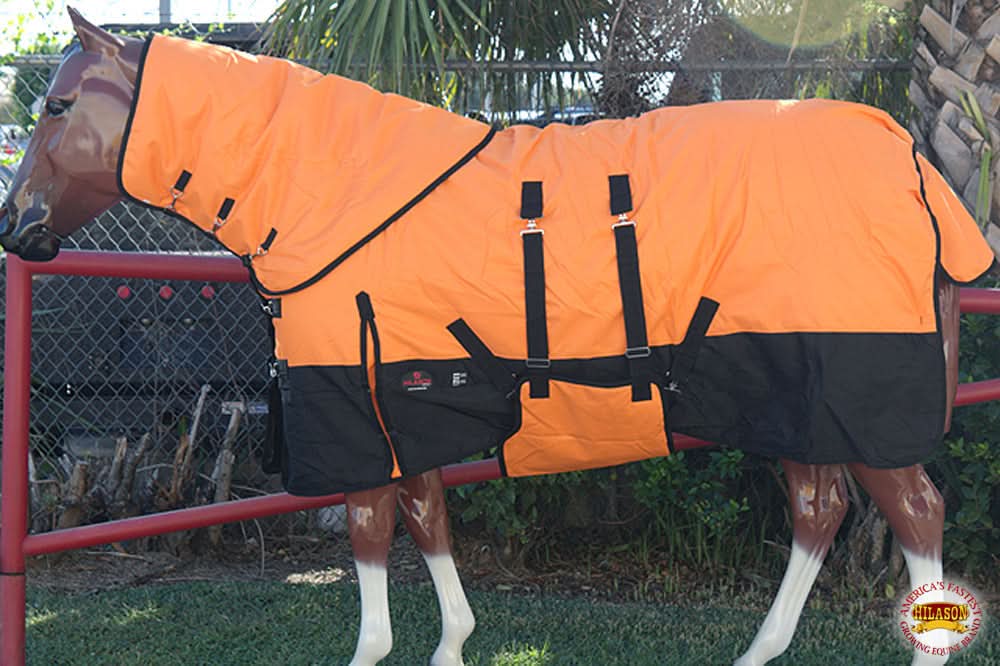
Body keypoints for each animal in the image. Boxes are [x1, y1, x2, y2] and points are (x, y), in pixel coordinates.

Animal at [0, 9, 990, 665]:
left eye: (57, 106)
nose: (18, 228)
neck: (333, 193)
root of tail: (909, 160)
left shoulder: (359, 408)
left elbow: (370, 530)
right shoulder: (405, 403)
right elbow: (426, 519)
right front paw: (452, 645)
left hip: (855, 392)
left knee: (917, 511)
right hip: (797, 402)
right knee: (820, 512)